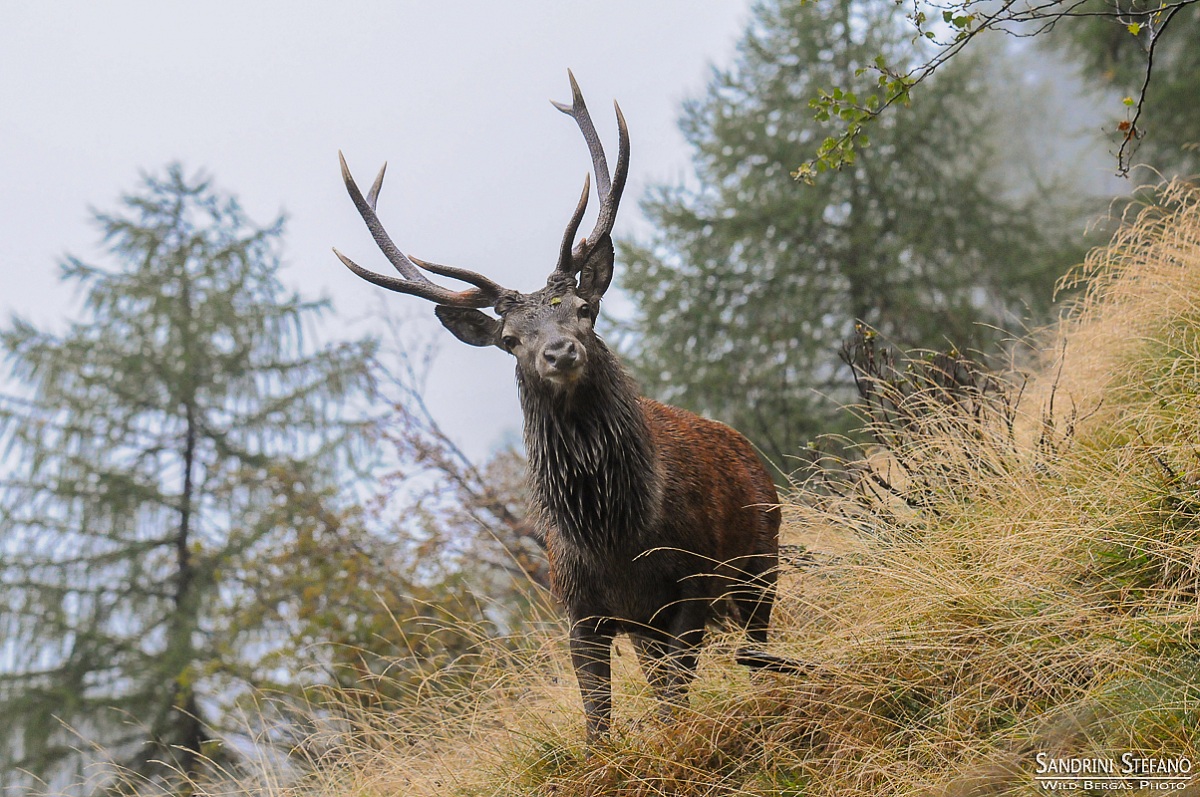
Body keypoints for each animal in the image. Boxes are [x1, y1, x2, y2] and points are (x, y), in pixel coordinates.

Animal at [333, 71, 782, 741]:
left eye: (583, 309)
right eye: (509, 339)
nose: (560, 351)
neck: (615, 533)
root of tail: (745, 446)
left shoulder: (691, 582)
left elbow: (674, 704)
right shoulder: (579, 609)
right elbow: (598, 717)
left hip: (761, 557)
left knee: (758, 650)